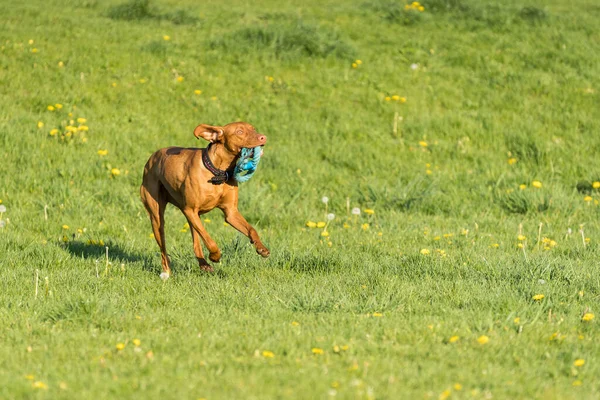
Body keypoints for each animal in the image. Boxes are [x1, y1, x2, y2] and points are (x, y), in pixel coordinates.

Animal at [141, 122, 270, 278]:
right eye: (239, 132)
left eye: (253, 129)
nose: (263, 137)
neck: (218, 173)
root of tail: (151, 158)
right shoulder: (190, 210)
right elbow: (210, 241)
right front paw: (215, 256)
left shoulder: (231, 213)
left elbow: (251, 230)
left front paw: (261, 248)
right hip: (158, 218)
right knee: (163, 248)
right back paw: (167, 272)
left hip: (191, 217)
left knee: (196, 243)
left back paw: (204, 265)